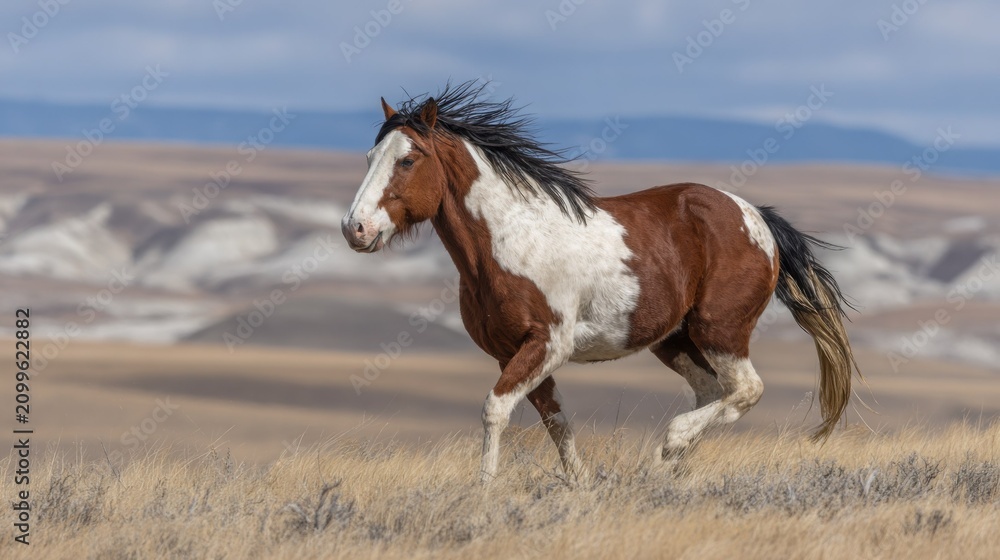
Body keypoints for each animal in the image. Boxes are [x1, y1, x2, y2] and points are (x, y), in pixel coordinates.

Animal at [341, 82, 861, 483]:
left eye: (408, 160)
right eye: (369, 156)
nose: (355, 229)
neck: (508, 241)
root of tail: (757, 217)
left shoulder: (547, 344)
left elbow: (495, 409)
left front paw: (483, 491)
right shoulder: (512, 353)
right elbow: (555, 422)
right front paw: (581, 487)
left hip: (721, 330)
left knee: (745, 391)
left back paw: (666, 451)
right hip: (675, 339)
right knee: (714, 391)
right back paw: (667, 471)